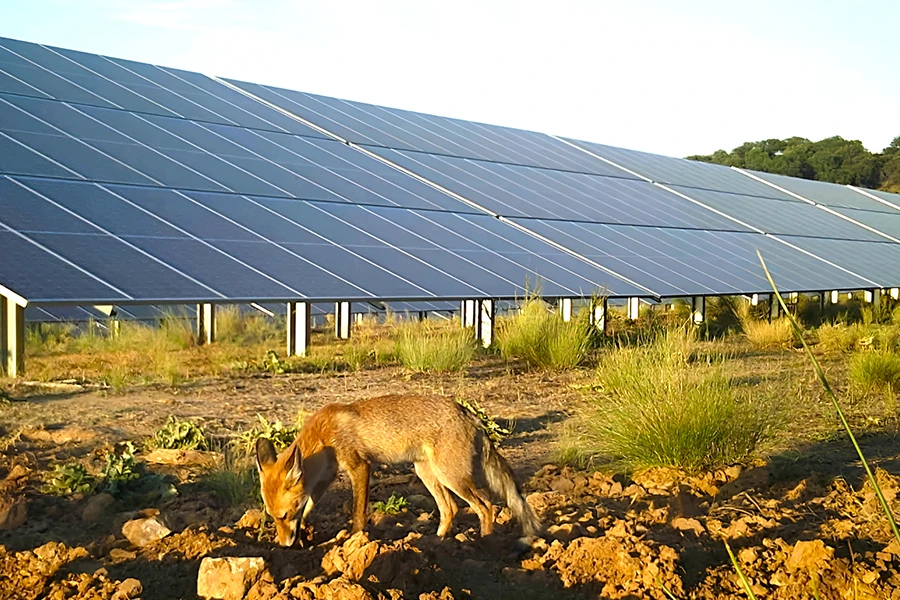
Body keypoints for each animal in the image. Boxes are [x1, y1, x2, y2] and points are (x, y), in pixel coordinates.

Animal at [256, 396, 544, 548]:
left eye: (283, 515)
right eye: (273, 517)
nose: (283, 545)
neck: (324, 434)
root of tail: (469, 414)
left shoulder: (359, 466)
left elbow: (358, 513)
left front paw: (354, 539)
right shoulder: (324, 478)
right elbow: (308, 506)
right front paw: (303, 534)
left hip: (451, 477)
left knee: (486, 506)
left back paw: (483, 545)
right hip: (427, 473)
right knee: (450, 508)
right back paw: (436, 543)